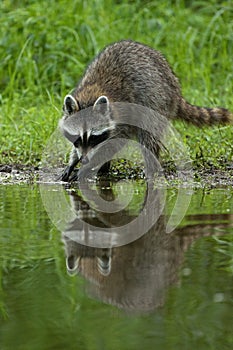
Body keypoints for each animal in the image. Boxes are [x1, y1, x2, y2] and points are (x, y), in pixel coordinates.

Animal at [59, 40, 232, 182]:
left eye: (94, 137)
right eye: (78, 138)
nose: (84, 160)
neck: (90, 96)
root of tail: (174, 86)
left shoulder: (121, 120)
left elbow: (115, 144)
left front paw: (89, 165)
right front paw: (73, 161)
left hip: (157, 101)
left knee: (149, 135)